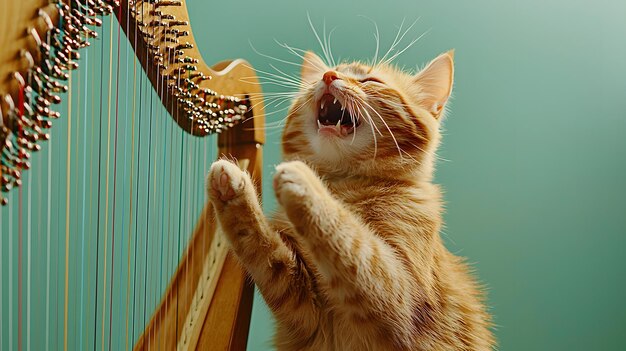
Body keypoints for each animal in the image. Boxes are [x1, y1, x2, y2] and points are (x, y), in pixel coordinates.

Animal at [207, 48, 494, 350]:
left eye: (370, 80)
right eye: (322, 76)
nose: (328, 76)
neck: (344, 187)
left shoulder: (401, 294)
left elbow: (354, 241)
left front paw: (305, 181)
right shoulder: (302, 305)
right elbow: (262, 247)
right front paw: (233, 187)